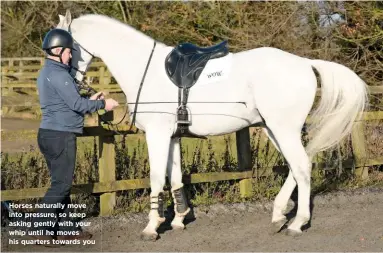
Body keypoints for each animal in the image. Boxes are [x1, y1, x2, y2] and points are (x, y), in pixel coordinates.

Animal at [56, 10, 368, 240]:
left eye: (67, 46)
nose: (71, 81)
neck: (144, 69)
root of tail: (305, 63)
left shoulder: (157, 134)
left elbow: (156, 178)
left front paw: (151, 227)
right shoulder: (172, 136)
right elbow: (175, 177)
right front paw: (179, 219)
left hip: (283, 128)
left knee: (302, 166)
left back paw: (297, 223)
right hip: (273, 128)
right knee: (297, 166)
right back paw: (279, 215)